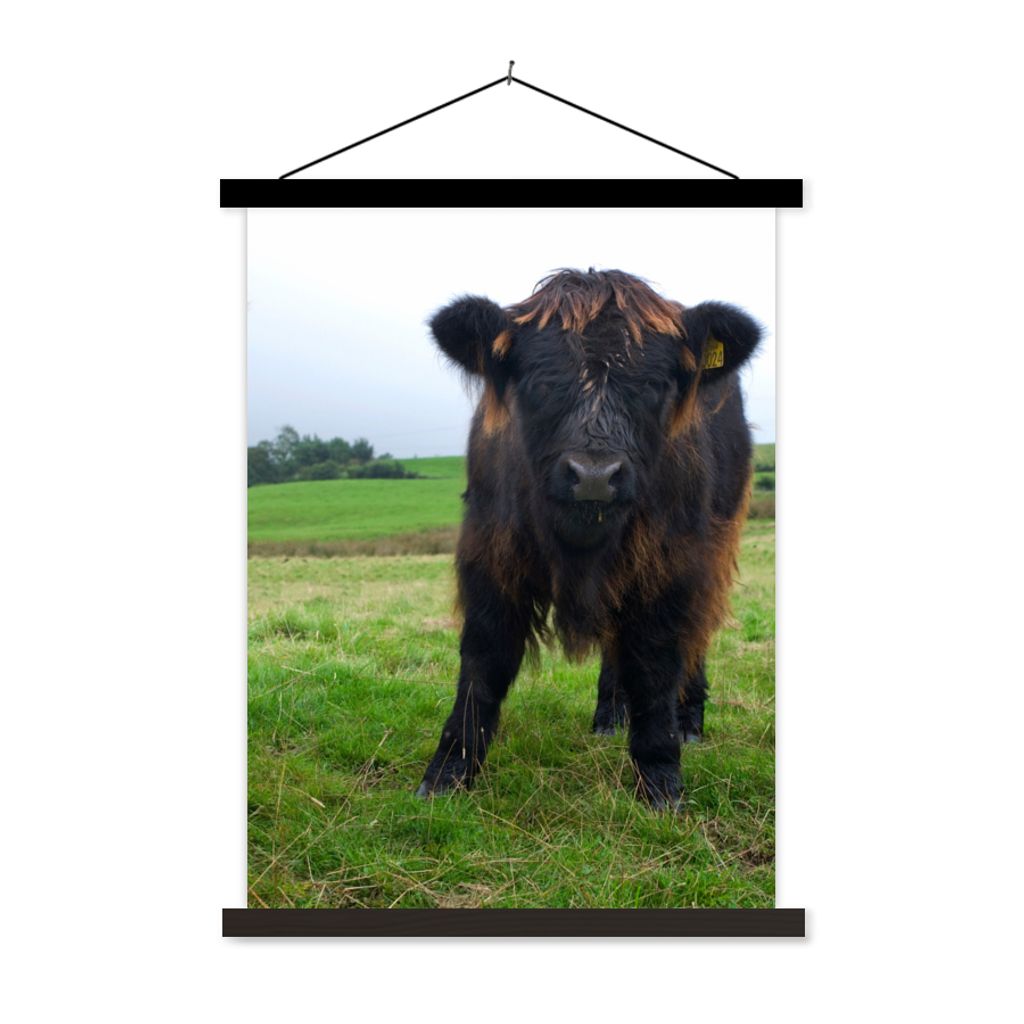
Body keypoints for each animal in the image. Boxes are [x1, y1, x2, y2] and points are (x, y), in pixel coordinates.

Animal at [416, 268, 761, 809]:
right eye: (538, 382)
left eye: (655, 385)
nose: (595, 476)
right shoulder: (490, 555)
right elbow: (483, 660)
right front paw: (448, 773)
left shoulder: (672, 564)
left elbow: (657, 663)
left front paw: (660, 780)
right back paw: (608, 716)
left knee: (696, 635)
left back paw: (688, 723)